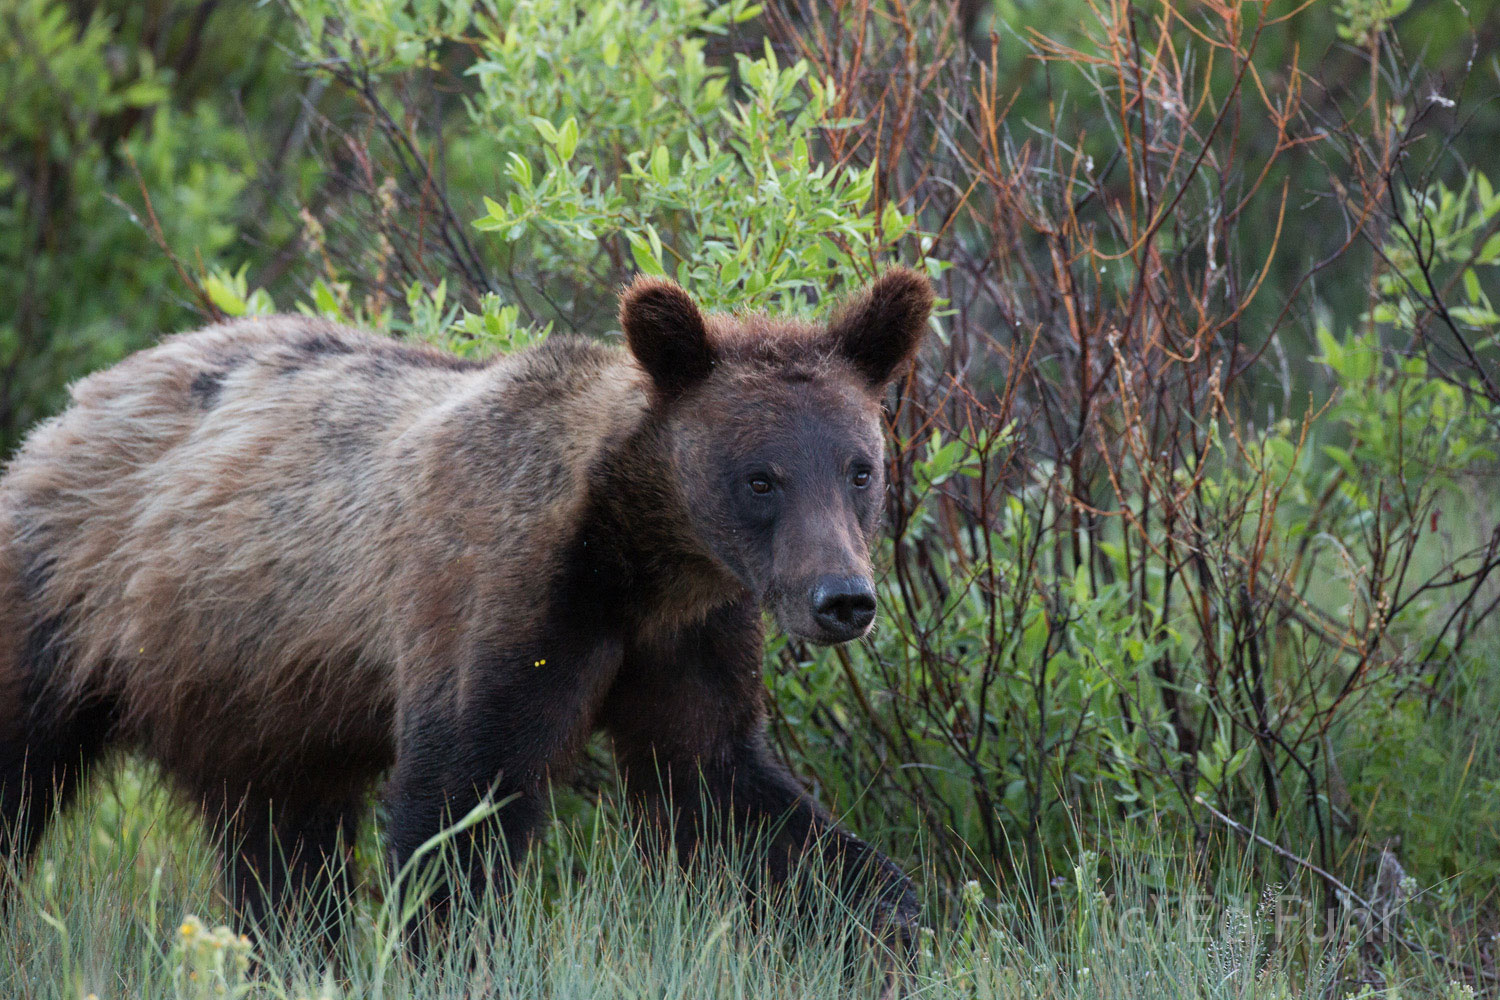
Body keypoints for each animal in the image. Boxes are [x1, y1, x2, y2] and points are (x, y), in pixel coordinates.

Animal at [0, 269, 930, 941]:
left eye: (860, 467)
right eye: (762, 478)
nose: (843, 599)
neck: (632, 557)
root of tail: (78, 401)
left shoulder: (686, 638)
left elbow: (725, 786)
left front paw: (892, 920)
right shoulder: (495, 598)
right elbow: (458, 807)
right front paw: (457, 945)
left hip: (249, 687)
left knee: (282, 835)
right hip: (69, 595)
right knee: (22, 763)